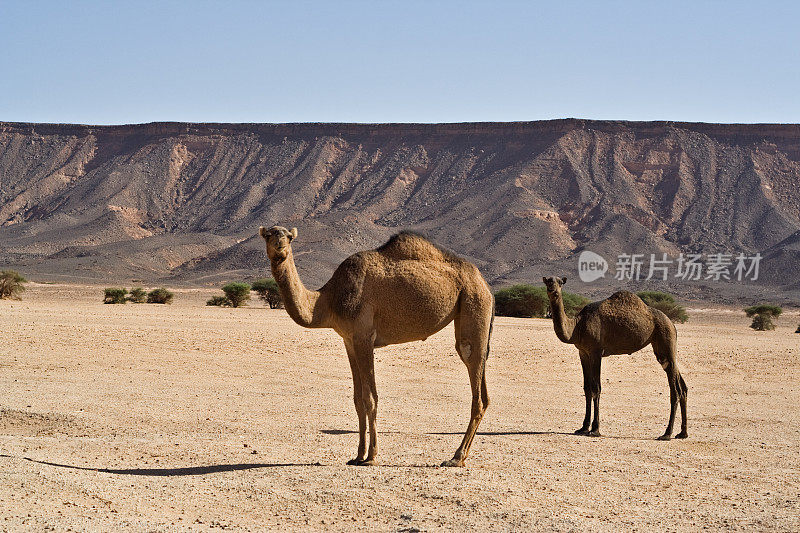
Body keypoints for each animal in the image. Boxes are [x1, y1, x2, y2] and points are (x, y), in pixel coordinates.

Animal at [260, 225, 494, 466]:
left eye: (289, 237)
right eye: (268, 235)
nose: (280, 246)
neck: (328, 301)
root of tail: (484, 283)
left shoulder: (364, 337)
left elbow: (370, 398)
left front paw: (371, 456)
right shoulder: (349, 340)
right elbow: (357, 399)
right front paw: (357, 455)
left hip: (473, 301)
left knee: (472, 370)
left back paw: (456, 457)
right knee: (484, 392)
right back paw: (461, 456)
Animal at [544, 276, 688, 438]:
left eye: (560, 282)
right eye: (548, 281)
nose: (552, 289)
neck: (576, 327)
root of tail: (672, 324)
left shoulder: (596, 351)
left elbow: (596, 388)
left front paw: (595, 429)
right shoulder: (583, 353)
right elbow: (587, 388)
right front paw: (583, 427)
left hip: (665, 338)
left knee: (675, 389)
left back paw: (667, 433)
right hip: (663, 349)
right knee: (682, 385)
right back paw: (682, 433)